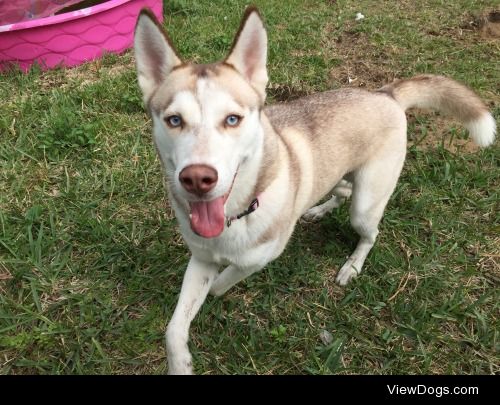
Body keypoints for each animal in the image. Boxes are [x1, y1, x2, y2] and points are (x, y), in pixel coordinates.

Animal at [133, 7, 496, 372]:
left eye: (232, 119)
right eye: (174, 120)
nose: (197, 178)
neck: (237, 213)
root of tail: (385, 94)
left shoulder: (260, 257)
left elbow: (225, 281)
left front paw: (216, 291)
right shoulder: (201, 258)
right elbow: (174, 329)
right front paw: (181, 364)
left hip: (366, 205)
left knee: (369, 232)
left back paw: (352, 265)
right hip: (337, 171)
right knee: (342, 190)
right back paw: (319, 209)